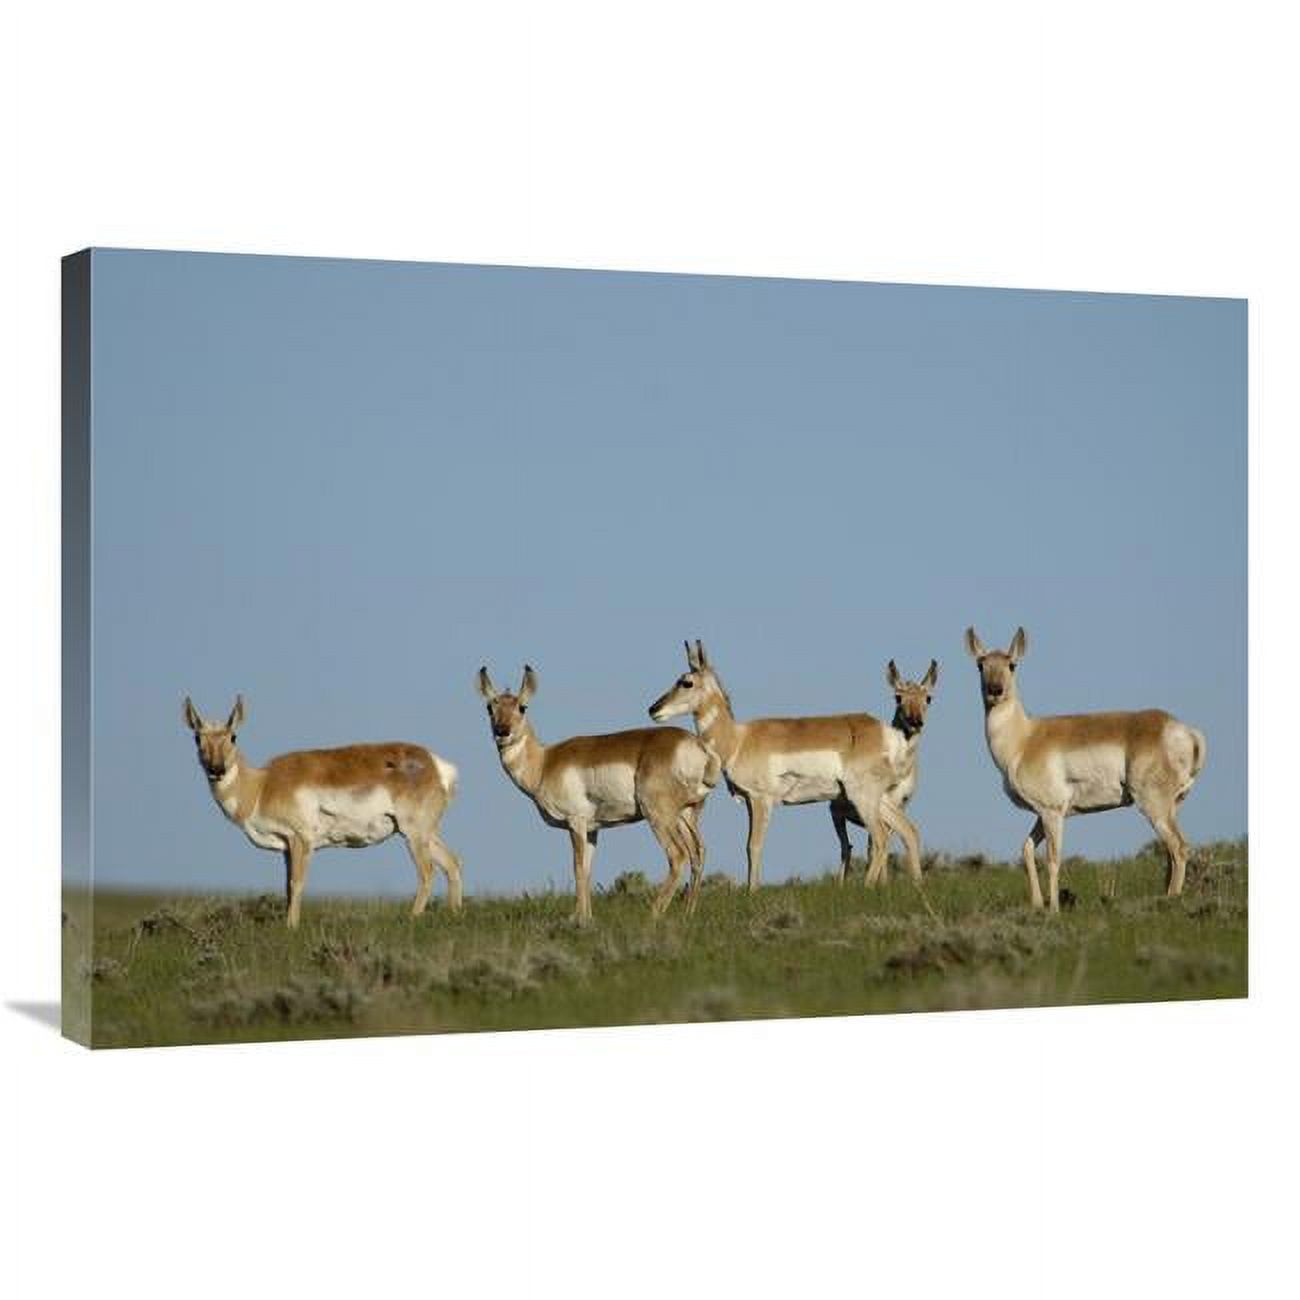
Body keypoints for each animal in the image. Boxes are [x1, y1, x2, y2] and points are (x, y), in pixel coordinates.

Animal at [183, 695, 463, 928]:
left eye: (233, 737)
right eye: (197, 738)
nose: (216, 769)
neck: (262, 785)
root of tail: (436, 764)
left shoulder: (300, 840)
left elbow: (296, 884)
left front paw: (291, 927)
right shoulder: (287, 847)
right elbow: (286, 887)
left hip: (414, 834)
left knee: (427, 872)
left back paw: (411, 918)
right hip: (426, 833)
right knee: (452, 863)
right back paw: (453, 914)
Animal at [477, 665, 721, 923]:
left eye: (522, 707)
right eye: (490, 707)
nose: (502, 732)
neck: (545, 762)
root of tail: (696, 745)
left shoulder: (575, 822)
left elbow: (577, 868)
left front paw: (576, 919)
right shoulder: (593, 829)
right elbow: (587, 870)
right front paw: (586, 918)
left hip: (659, 816)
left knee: (678, 855)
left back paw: (653, 913)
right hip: (686, 815)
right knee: (698, 853)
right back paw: (688, 913)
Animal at [647, 641, 924, 890]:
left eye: (686, 682)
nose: (653, 709)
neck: (738, 739)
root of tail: (887, 733)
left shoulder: (761, 800)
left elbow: (753, 846)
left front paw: (751, 892)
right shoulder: (750, 802)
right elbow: (750, 846)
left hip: (863, 797)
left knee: (880, 838)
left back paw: (866, 887)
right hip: (879, 798)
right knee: (908, 830)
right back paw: (917, 884)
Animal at [830, 659, 938, 884]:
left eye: (928, 698)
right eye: (898, 697)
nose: (915, 722)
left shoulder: (897, 806)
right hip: (837, 815)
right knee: (846, 847)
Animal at [964, 627, 1207, 911]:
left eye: (1012, 664)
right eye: (981, 665)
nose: (995, 690)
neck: (1025, 739)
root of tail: (1182, 729)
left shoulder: (1052, 812)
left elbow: (1053, 860)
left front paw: (1053, 909)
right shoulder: (1043, 813)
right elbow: (1026, 849)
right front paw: (1037, 904)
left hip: (1153, 805)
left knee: (1179, 847)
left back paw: (1171, 901)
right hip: (1171, 807)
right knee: (1171, 851)